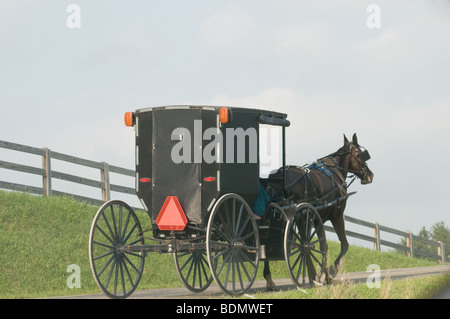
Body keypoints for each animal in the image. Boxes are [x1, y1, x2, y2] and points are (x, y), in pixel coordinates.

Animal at [264, 132, 372, 290]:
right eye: (360, 154)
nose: (370, 175)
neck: (335, 171)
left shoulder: (316, 218)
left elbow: (323, 246)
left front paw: (324, 275)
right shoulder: (336, 215)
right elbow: (343, 244)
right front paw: (331, 271)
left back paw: (270, 279)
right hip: (302, 217)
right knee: (304, 245)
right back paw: (311, 277)